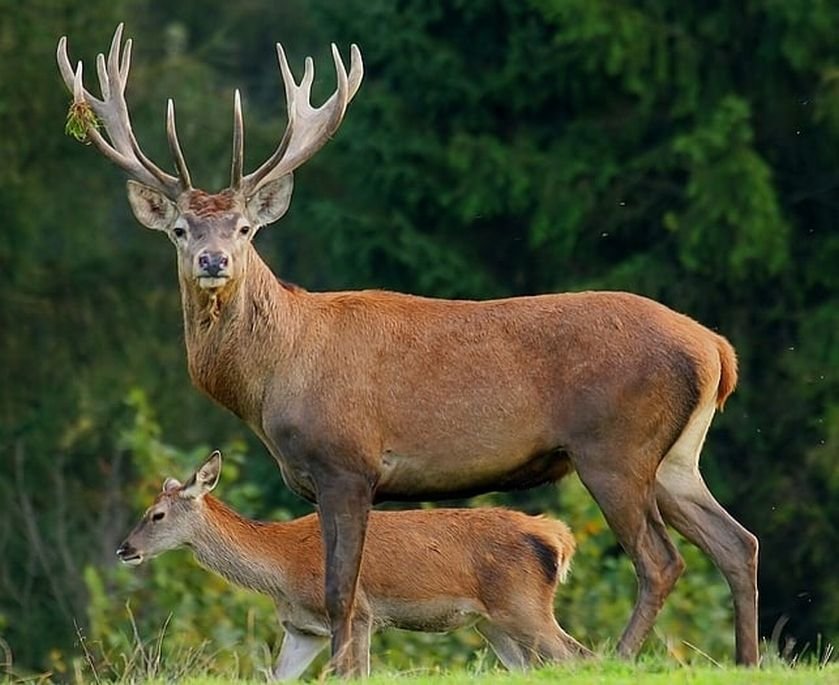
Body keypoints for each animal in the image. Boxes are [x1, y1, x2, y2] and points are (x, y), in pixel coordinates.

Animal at [118, 448, 592, 680]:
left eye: (156, 514)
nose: (124, 549)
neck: (281, 570)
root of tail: (557, 537)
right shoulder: (302, 629)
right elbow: (276, 677)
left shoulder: (359, 612)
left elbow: (354, 674)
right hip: (493, 623)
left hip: (521, 603)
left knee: (576, 654)